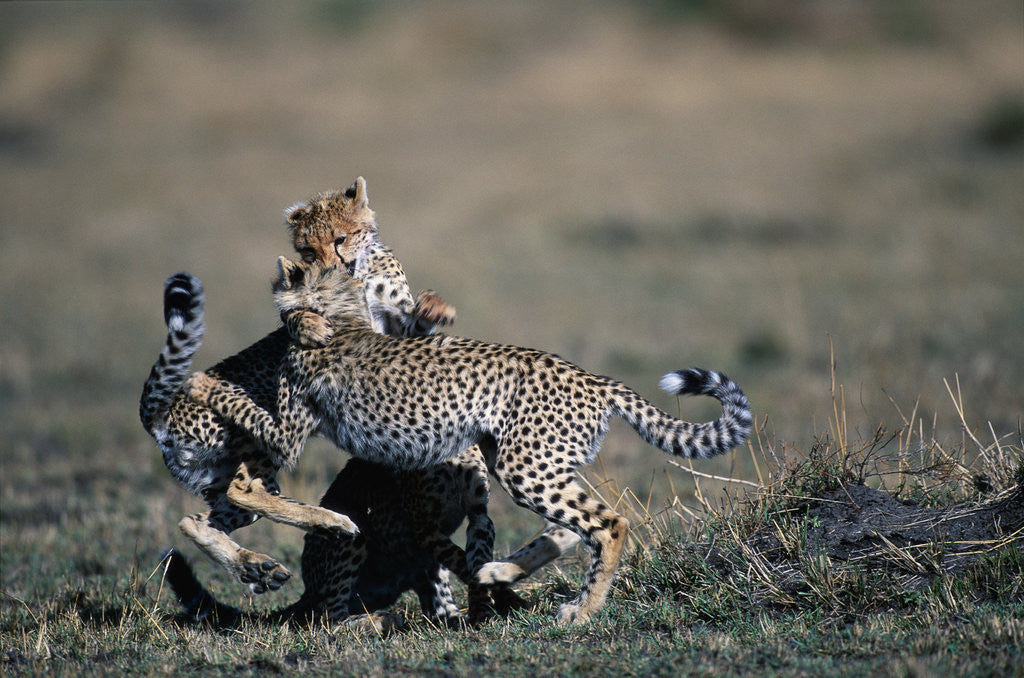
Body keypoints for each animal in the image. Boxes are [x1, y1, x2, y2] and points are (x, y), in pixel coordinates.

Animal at [139, 177, 459, 596]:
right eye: (308, 249)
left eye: (340, 238)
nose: (327, 266)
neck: (359, 274)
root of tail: (162, 413)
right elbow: (293, 313)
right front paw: (307, 324)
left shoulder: (392, 333)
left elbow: (413, 323)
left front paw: (434, 307)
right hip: (251, 443)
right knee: (243, 490)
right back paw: (330, 521)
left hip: (218, 478)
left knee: (197, 520)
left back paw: (258, 567)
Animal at [162, 447, 539, 628]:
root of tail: (309, 591)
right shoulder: (423, 528)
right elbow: (466, 562)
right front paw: (500, 601)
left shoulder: (479, 516)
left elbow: (477, 559)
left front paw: (492, 602)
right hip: (355, 535)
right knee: (328, 618)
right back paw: (379, 620)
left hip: (420, 569)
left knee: (437, 608)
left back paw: (453, 616)